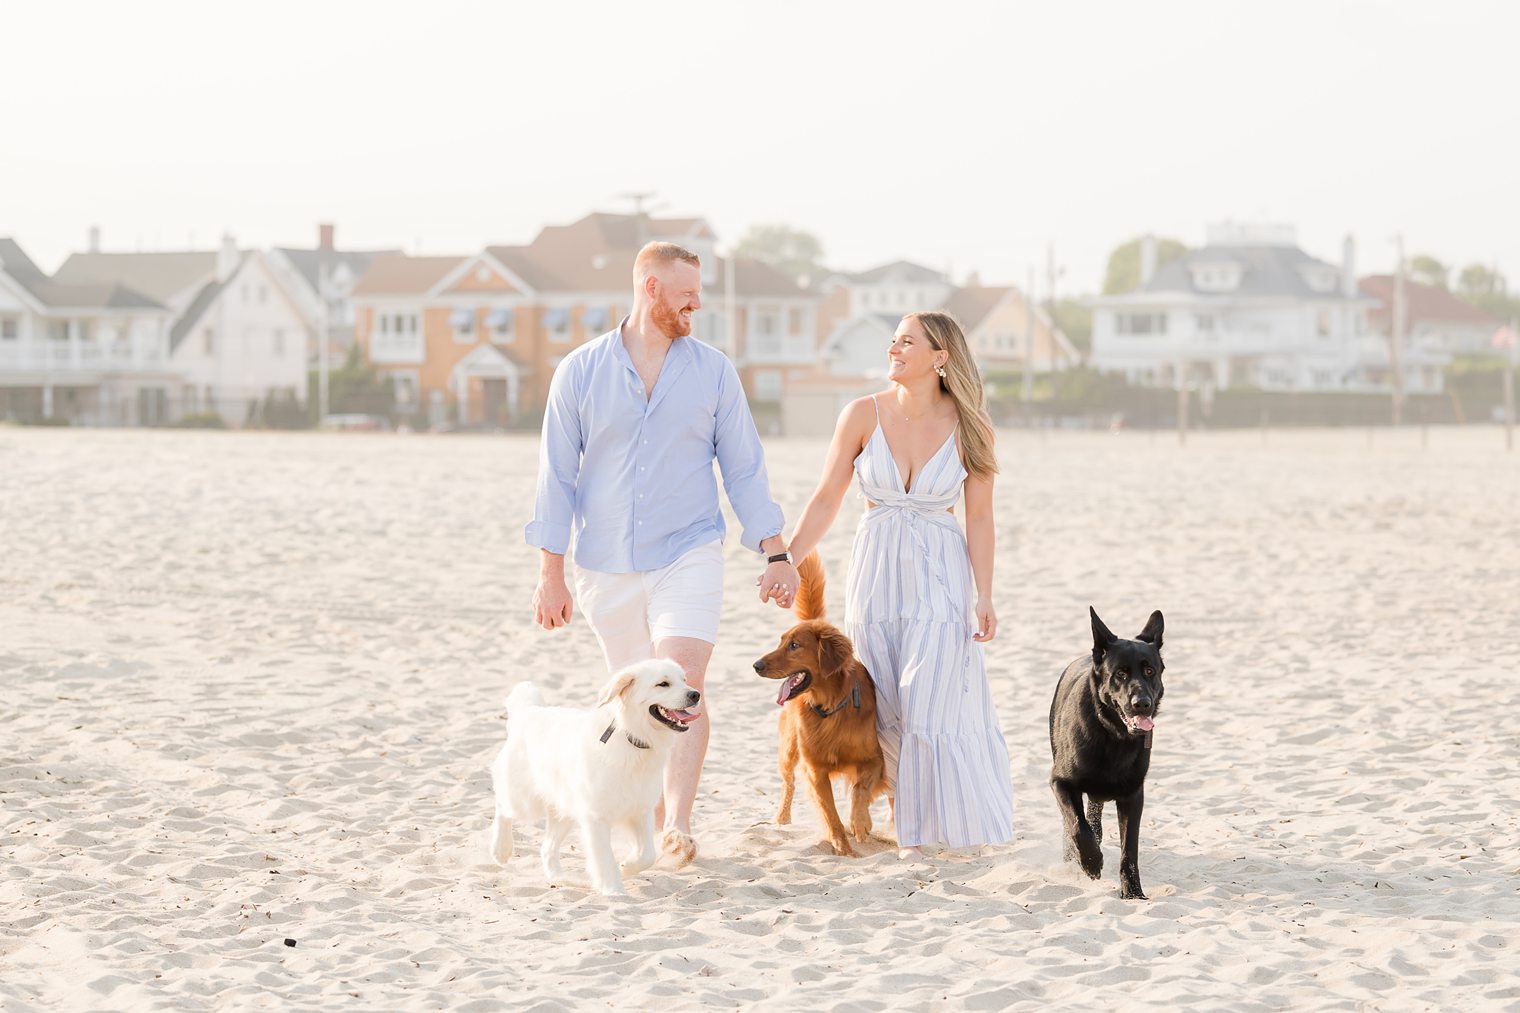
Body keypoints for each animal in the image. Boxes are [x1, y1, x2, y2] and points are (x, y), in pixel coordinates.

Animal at [486, 660, 699, 888]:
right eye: (663, 684)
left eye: (684, 680)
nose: (696, 694)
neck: (630, 739)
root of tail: (529, 712)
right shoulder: (596, 817)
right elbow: (604, 860)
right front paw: (614, 890)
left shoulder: (640, 810)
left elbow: (647, 855)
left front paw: (626, 867)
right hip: (525, 802)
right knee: (502, 808)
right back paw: (500, 850)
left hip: (564, 810)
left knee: (547, 848)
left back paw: (558, 878)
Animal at [750, 553, 887, 851]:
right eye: (780, 641)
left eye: (794, 645)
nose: (756, 665)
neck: (830, 708)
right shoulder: (814, 770)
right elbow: (830, 813)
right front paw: (843, 846)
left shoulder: (874, 758)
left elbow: (860, 790)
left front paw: (860, 823)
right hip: (789, 750)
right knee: (788, 783)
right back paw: (782, 818)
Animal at [1051, 602, 1167, 894]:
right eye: (1121, 674)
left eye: (1150, 671)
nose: (1142, 703)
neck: (1112, 736)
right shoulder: (1060, 782)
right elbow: (1077, 827)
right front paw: (1091, 863)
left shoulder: (1133, 795)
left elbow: (1130, 849)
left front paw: (1134, 893)